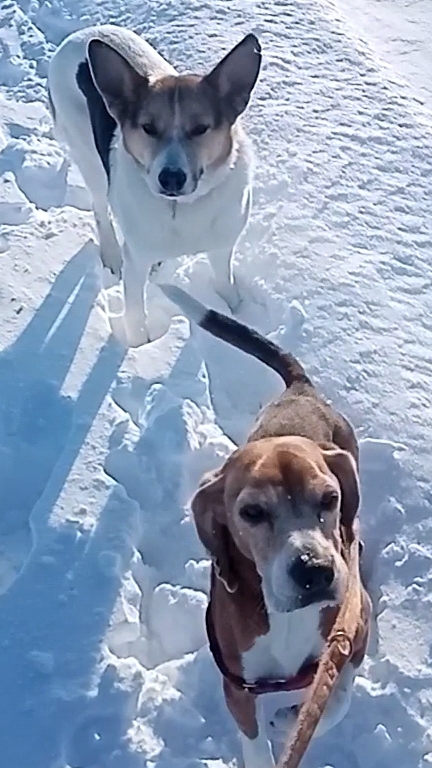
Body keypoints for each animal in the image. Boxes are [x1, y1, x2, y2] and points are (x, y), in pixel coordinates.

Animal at [49, 25, 262, 346]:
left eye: (200, 128)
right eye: (148, 127)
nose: (171, 177)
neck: (183, 209)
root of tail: (81, 34)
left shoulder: (222, 247)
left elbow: (226, 287)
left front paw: (240, 318)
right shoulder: (136, 261)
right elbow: (136, 316)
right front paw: (137, 350)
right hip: (88, 158)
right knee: (100, 207)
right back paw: (111, 254)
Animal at [159, 284, 372, 768]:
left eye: (329, 499)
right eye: (252, 513)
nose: (315, 572)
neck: (286, 620)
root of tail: (301, 390)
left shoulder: (351, 637)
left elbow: (337, 699)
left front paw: (290, 719)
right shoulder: (237, 688)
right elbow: (255, 743)